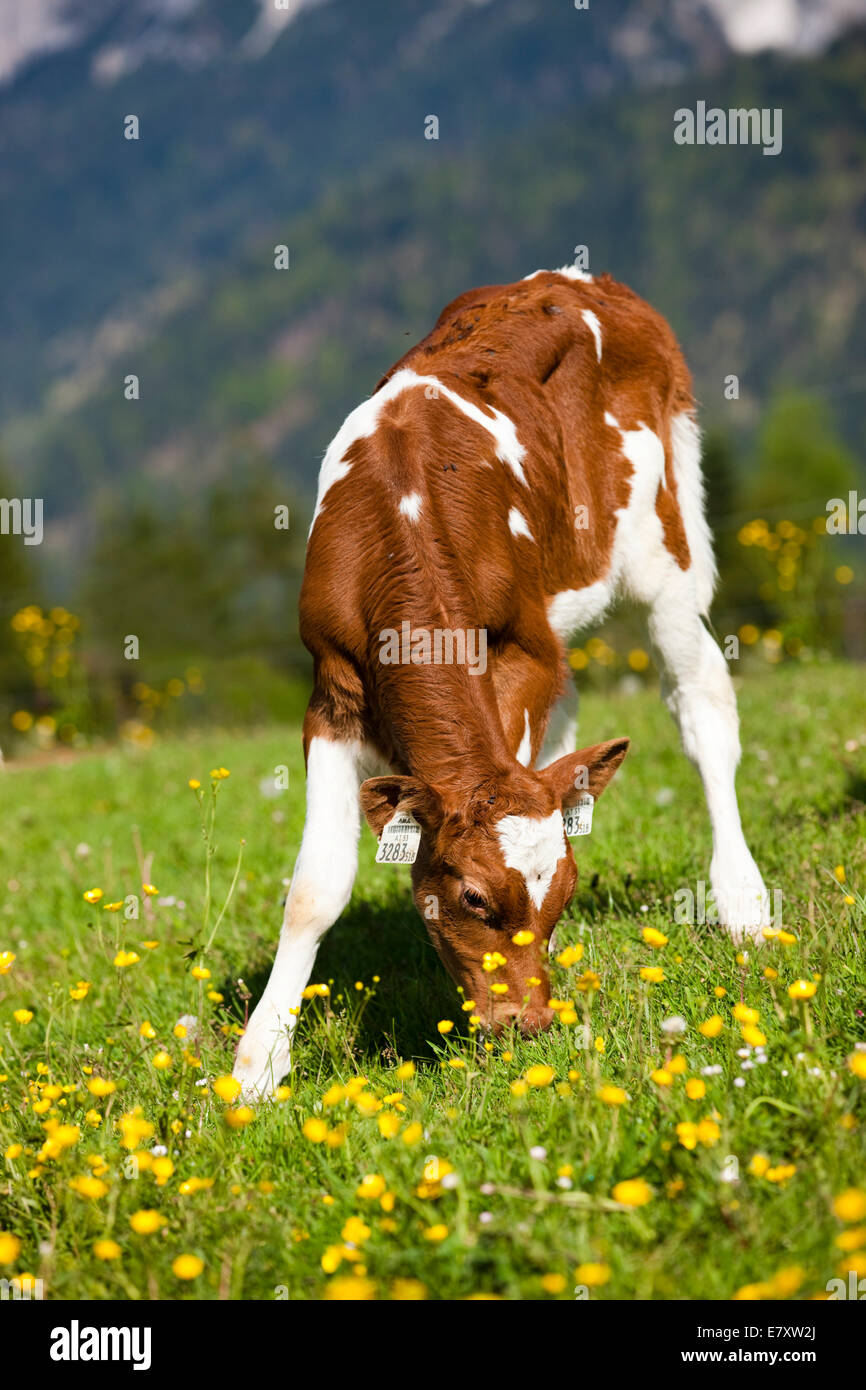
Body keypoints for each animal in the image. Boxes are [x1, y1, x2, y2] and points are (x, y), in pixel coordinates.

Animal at [233, 266, 770, 1100]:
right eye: (474, 897)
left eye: (563, 894)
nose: (530, 1023)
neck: (406, 510)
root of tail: (579, 278)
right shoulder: (333, 689)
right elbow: (316, 887)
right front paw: (258, 1066)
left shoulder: (521, 650)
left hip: (668, 550)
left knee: (703, 713)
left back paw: (743, 899)